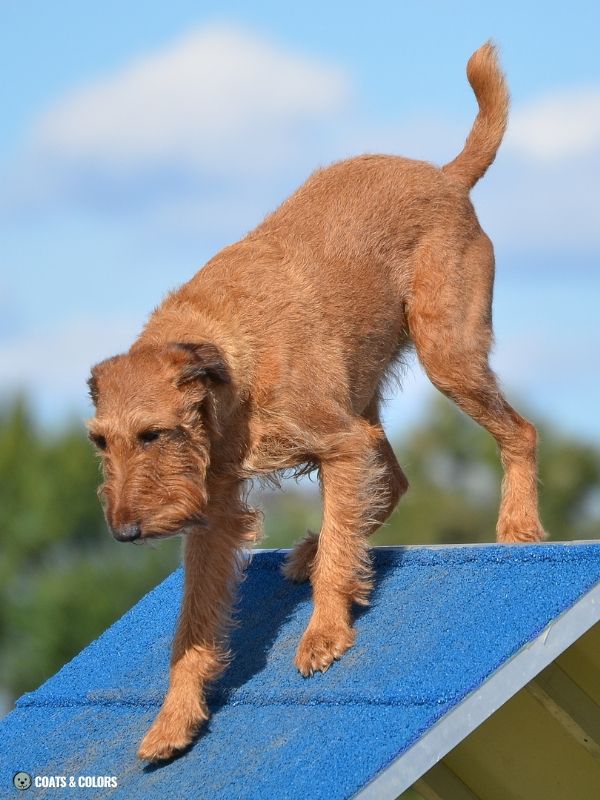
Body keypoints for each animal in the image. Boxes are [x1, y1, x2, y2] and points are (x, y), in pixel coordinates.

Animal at [88, 43, 544, 764]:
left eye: (156, 434)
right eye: (99, 440)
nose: (124, 532)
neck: (229, 354)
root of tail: (446, 176)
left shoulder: (338, 444)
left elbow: (337, 554)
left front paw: (324, 634)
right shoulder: (217, 515)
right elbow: (192, 627)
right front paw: (174, 719)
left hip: (448, 356)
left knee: (516, 433)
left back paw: (518, 527)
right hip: (370, 395)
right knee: (389, 483)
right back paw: (309, 550)